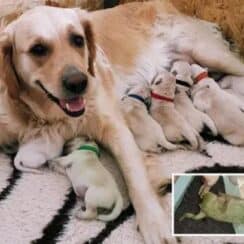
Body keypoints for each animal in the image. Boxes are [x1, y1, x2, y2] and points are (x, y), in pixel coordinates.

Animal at [0, 0, 244, 243]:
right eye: (38, 49)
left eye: (78, 40)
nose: (79, 82)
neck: (47, 112)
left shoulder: (115, 128)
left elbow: (136, 179)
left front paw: (155, 225)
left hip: (208, 53)